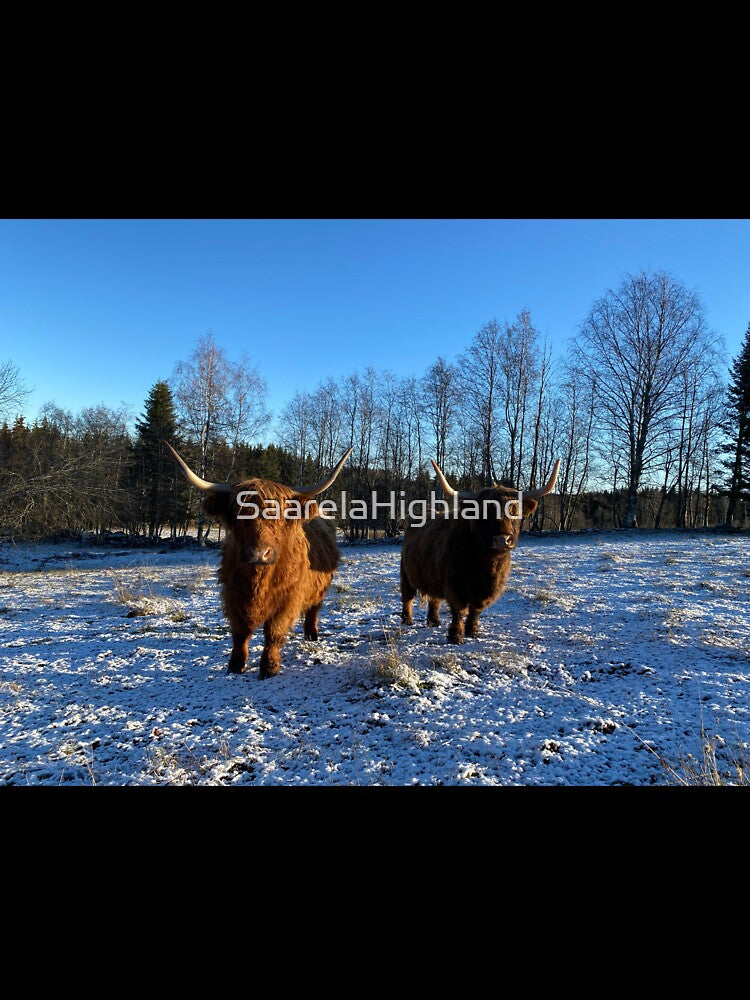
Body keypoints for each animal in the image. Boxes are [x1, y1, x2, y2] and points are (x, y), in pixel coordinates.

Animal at [165, 442, 351, 678]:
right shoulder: (233, 595)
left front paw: (269, 667)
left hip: (320, 589)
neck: (258, 581)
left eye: (278, 515)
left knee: (313, 610)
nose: (258, 553)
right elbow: (240, 632)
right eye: (239, 513)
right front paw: (236, 664)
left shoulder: (288, 599)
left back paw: (312, 635)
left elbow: (274, 632)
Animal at [400, 459, 560, 643]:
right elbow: (459, 610)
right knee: (407, 597)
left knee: (434, 598)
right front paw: (455, 636)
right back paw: (407, 620)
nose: (502, 539)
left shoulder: (489, 588)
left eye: (515, 510)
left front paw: (473, 631)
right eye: (484, 511)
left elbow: (476, 609)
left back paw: (434, 621)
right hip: (406, 573)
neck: (485, 564)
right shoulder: (454, 584)